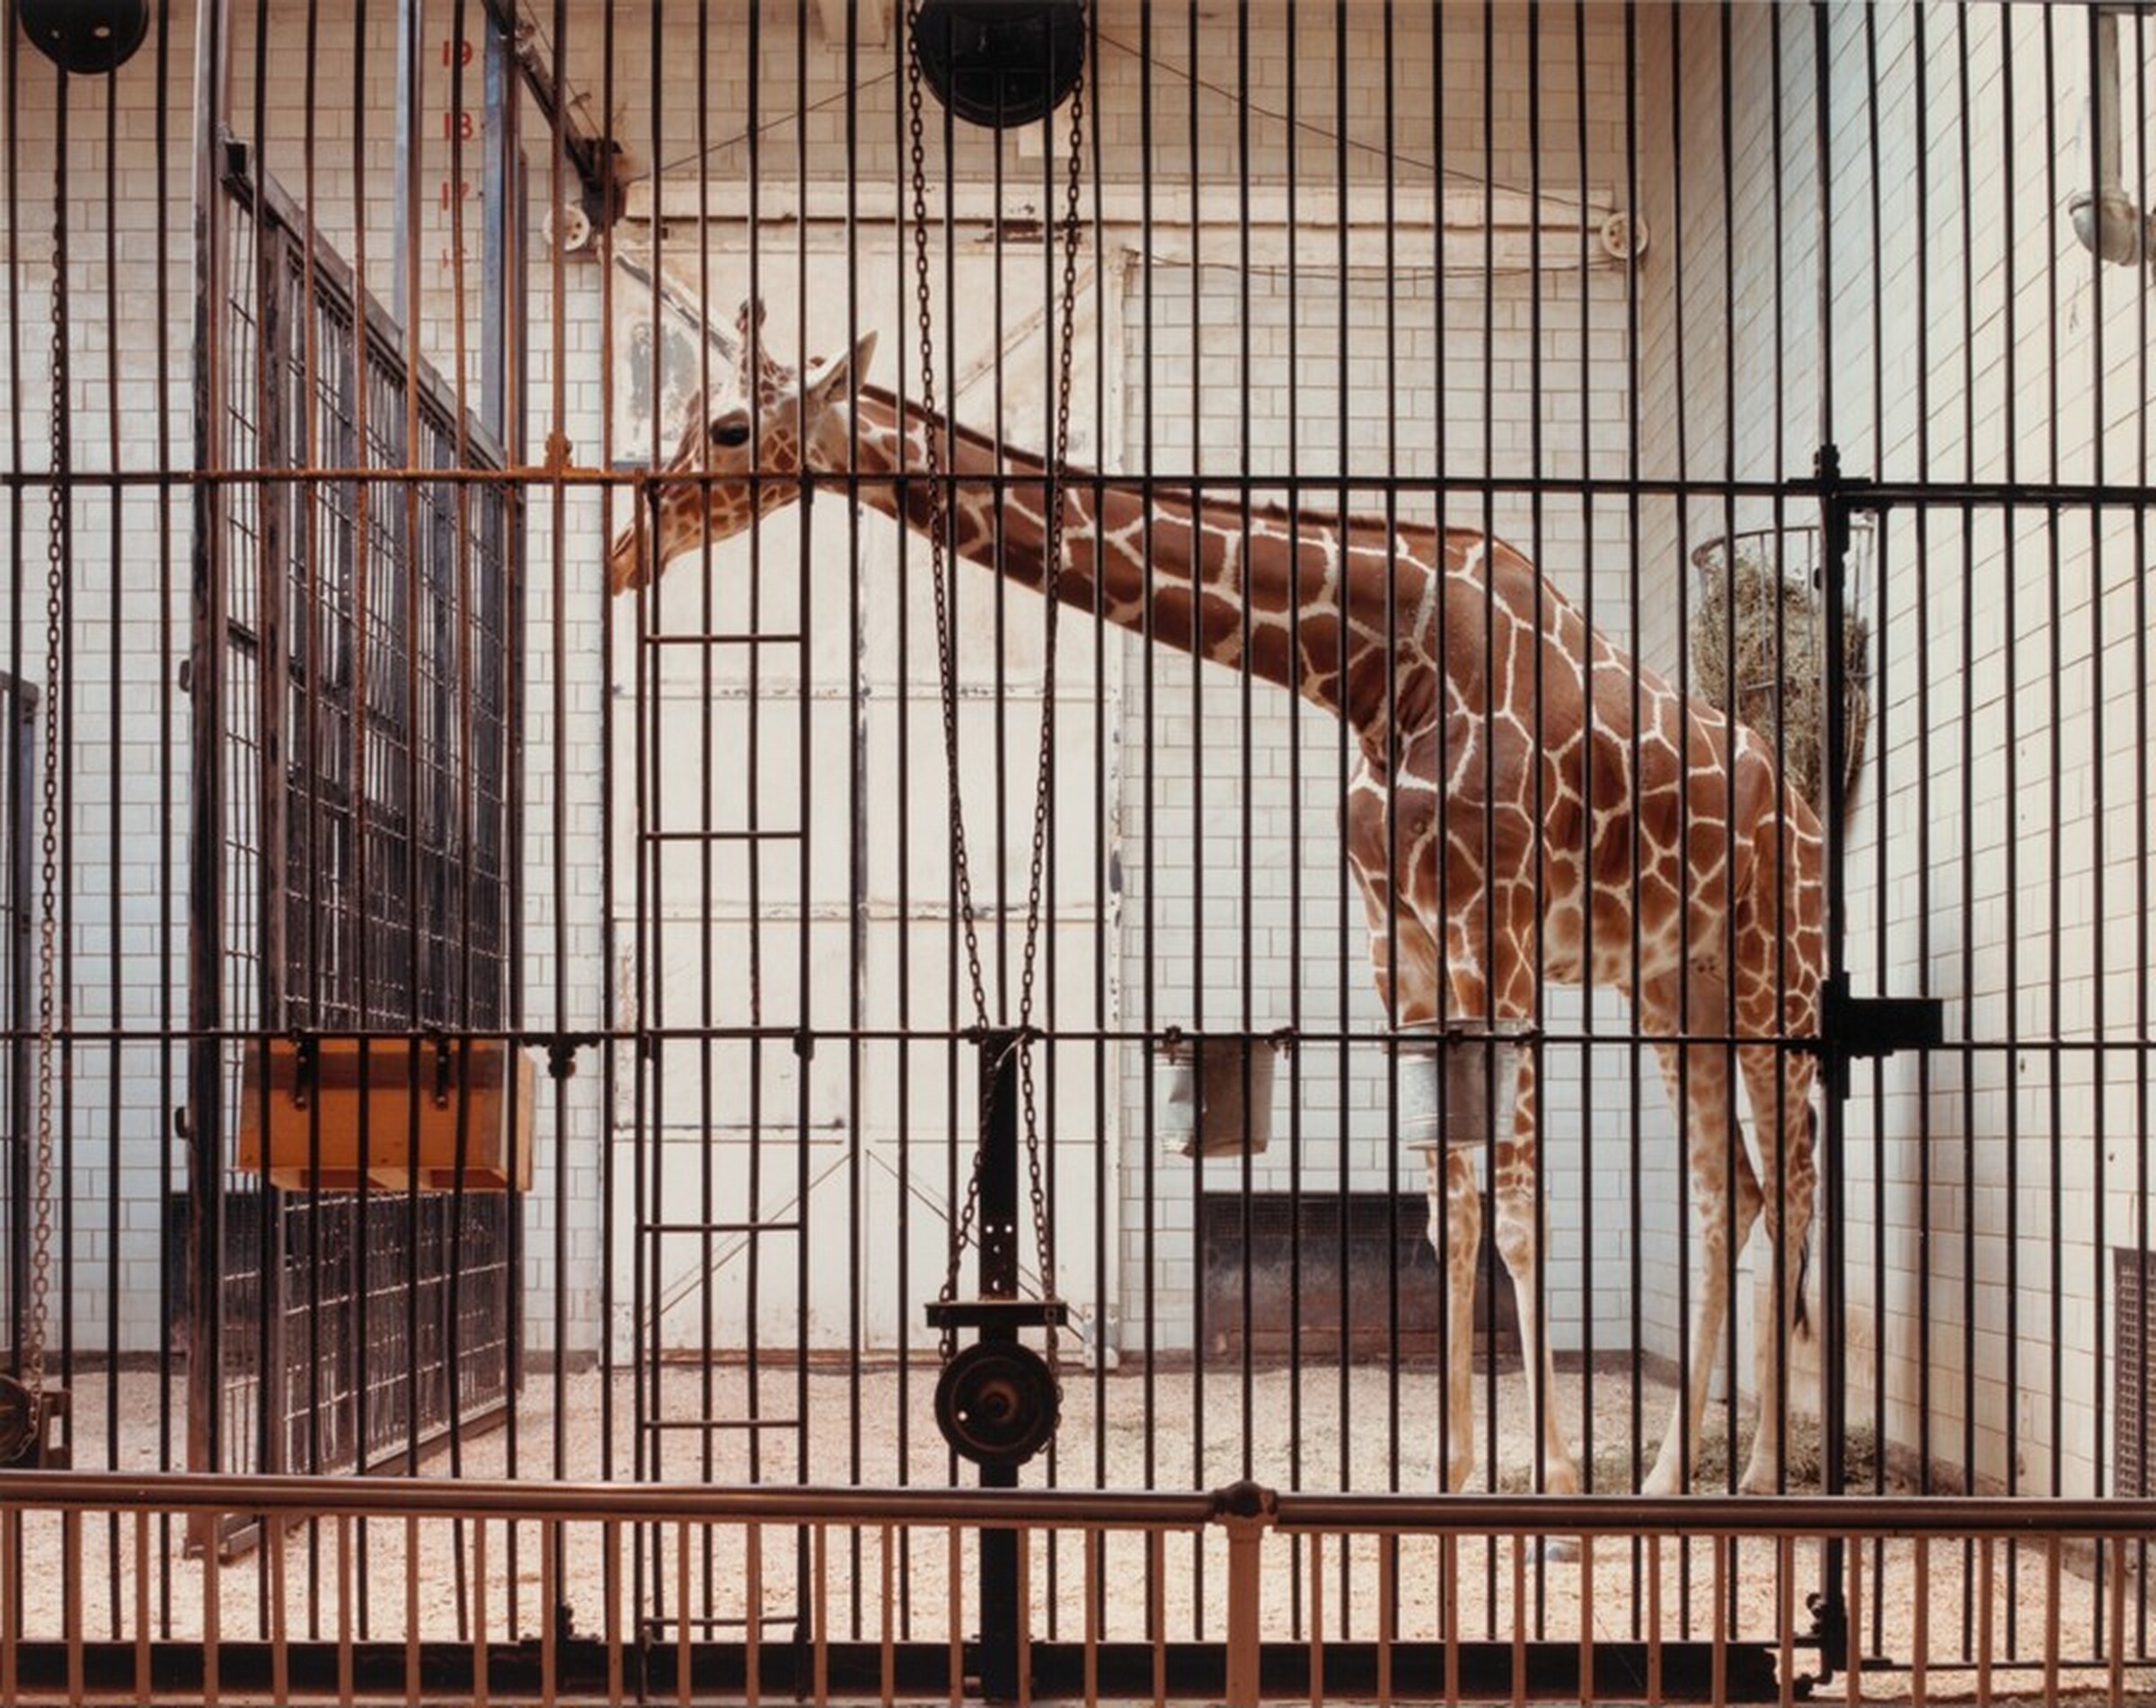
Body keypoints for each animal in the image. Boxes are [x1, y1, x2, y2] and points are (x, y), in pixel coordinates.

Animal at [609, 305, 1826, 1497]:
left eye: (727, 426)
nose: (627, 544)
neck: (1381, 670)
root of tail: (1802, 798)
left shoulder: (1501, 929)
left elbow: (1520, 1212)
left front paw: (1561, 1491)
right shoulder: (1402, 942)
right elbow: (1451, 1211)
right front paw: (1455, 1476)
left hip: (1779, 973)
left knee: (1795, 1175)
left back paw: (1770, 1465)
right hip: (1676, 989)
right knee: (1731, 1192)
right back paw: (1673, 1477)